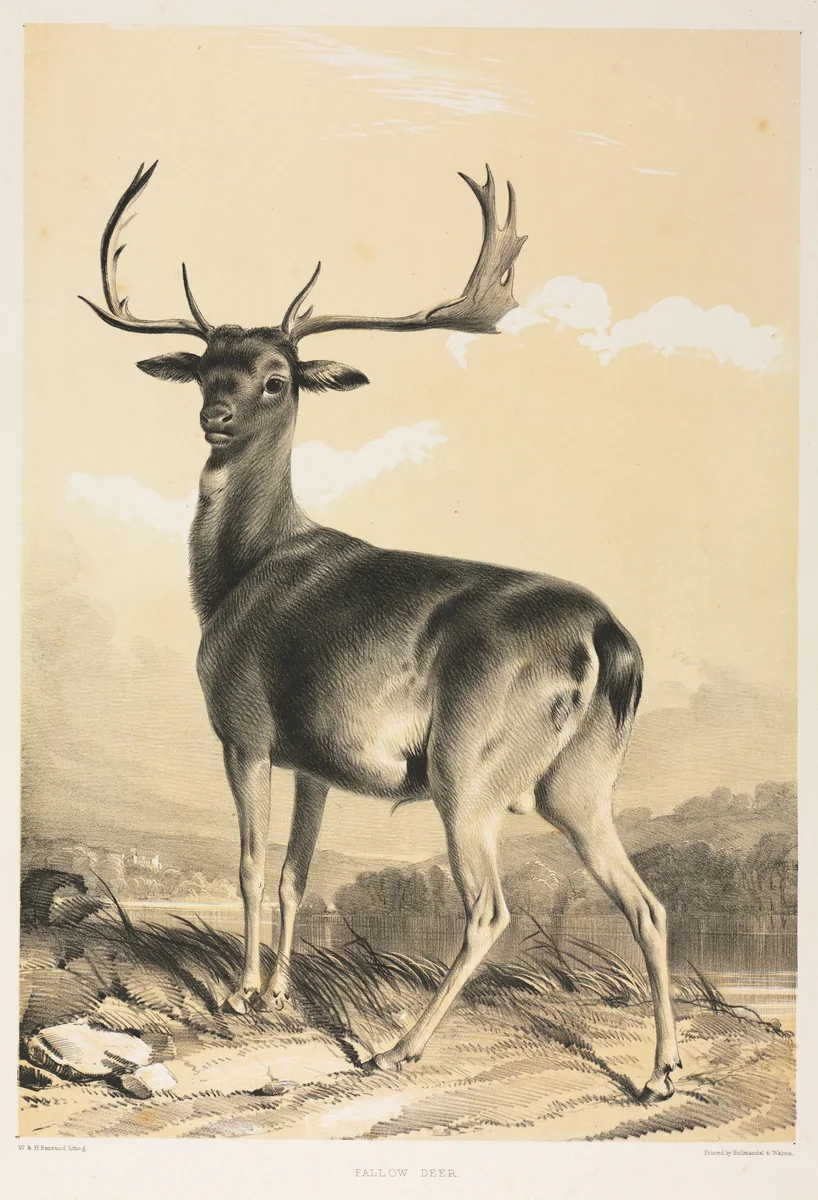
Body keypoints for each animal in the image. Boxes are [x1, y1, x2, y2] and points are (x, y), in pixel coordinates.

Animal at [80, 161, 681, 1102]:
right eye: (207, 368)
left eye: (276, 376)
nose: (216, 417)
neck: (235, 576)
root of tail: (608, 639)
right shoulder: (312, 761)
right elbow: (296, 875)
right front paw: (279, 992)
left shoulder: (244, 728)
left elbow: (249, 866)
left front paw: (239, 994)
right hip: (579, 782)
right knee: (647, 904)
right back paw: (659, 1073)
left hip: (468, 767)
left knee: (489, 908)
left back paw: (398, 1048)